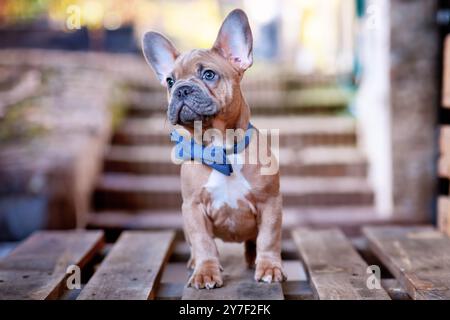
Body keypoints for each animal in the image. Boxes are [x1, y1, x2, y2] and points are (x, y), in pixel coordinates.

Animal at [142, 8, 286, 288]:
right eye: (169, 81)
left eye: (208, 74)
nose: (182, 89)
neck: (221, 150)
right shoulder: (193, 208)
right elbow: (203, 243)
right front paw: (206, 272)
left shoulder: (270, 203)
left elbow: (268, 239)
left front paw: (269, 267)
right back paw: (193, 263)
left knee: (253, 242)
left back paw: (252, 259)